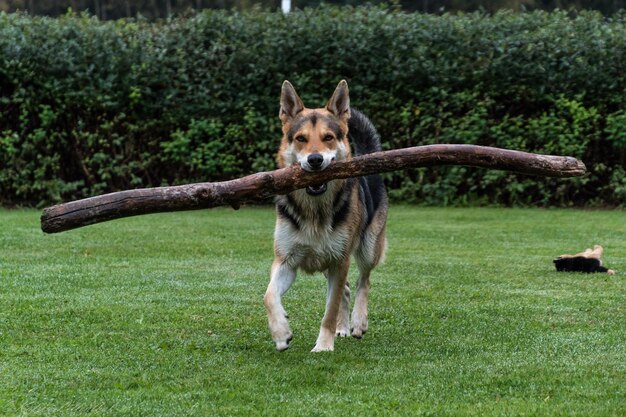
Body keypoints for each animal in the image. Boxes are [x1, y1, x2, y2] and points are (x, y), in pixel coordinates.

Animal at [262, 80, 386, 352]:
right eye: (301, 139)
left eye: (328, 137)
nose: (315, 160)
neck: (314, 209)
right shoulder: (286, 261)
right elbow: (269, 295)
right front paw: (281, 333)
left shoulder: (340, 261)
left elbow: (330, 310)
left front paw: (324, 346)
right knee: (347, 289)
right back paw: (343, 328)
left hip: (369, 247)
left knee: (363, 281)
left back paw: (358, 322)